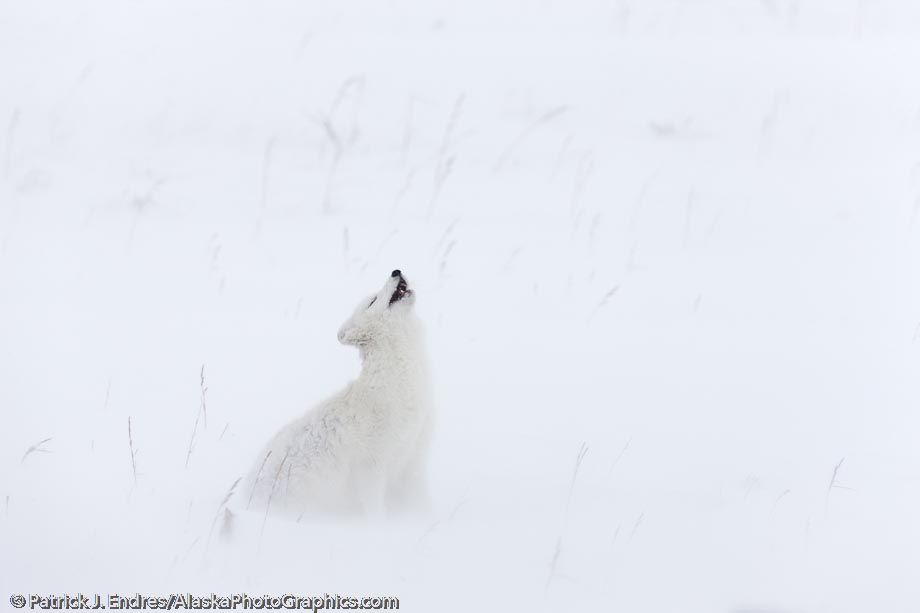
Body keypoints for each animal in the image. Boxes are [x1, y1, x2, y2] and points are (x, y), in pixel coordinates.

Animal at [243, 270, 434, 520]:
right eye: (373, 300)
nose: (396, 271)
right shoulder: (371, 467)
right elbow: (375, 509)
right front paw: (381, 526)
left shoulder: (413, 459)